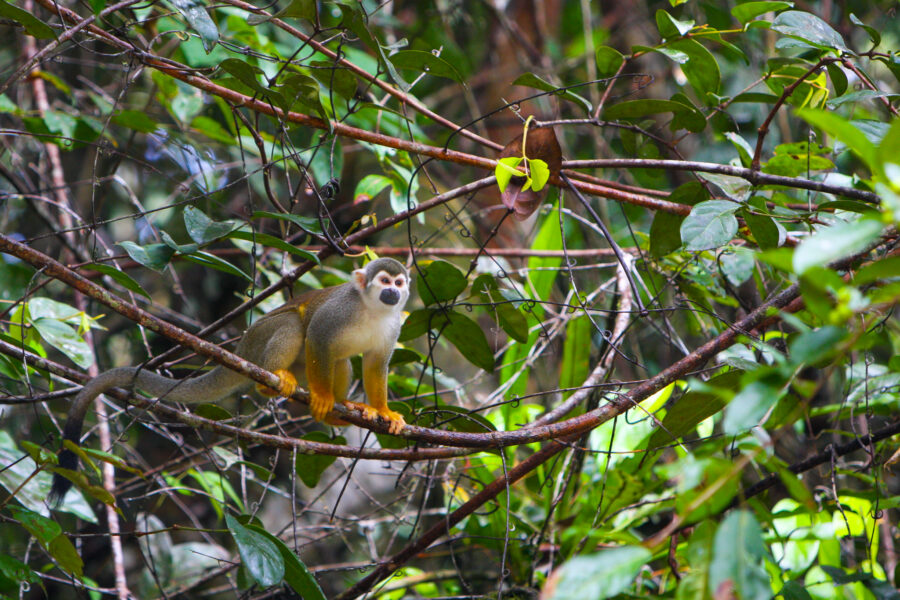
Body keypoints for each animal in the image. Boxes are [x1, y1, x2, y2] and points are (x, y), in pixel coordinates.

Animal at [49, 257, 411, 504]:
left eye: (399, 283)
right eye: (384, 280)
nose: (393, 291)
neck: (371, 309)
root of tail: (241, 348)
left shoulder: (394, 324)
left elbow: (376, 363)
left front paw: (383, 411)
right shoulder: (340, 310)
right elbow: (317, 338)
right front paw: (322, 397)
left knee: (340, 359)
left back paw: (344, 407)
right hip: (259, 340)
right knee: (296, 326)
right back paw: (275, 382)